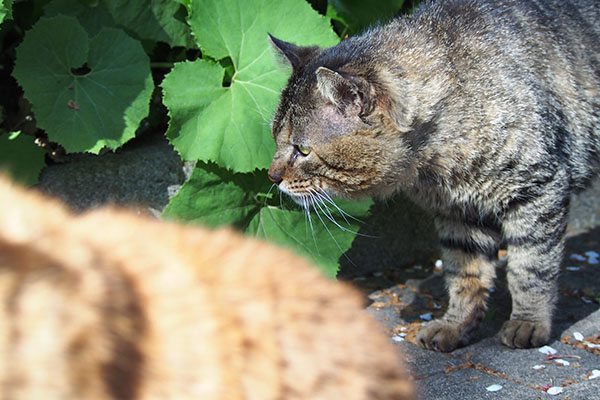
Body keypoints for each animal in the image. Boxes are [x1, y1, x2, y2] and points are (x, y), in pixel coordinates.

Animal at [270, 0, 600, 352]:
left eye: (303, 150)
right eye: (275, 138)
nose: (272, 176)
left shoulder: (538, 189)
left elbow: (531, 267)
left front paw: (528, 321)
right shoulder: (460, 214)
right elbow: (465, 274)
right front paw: (457, 324)